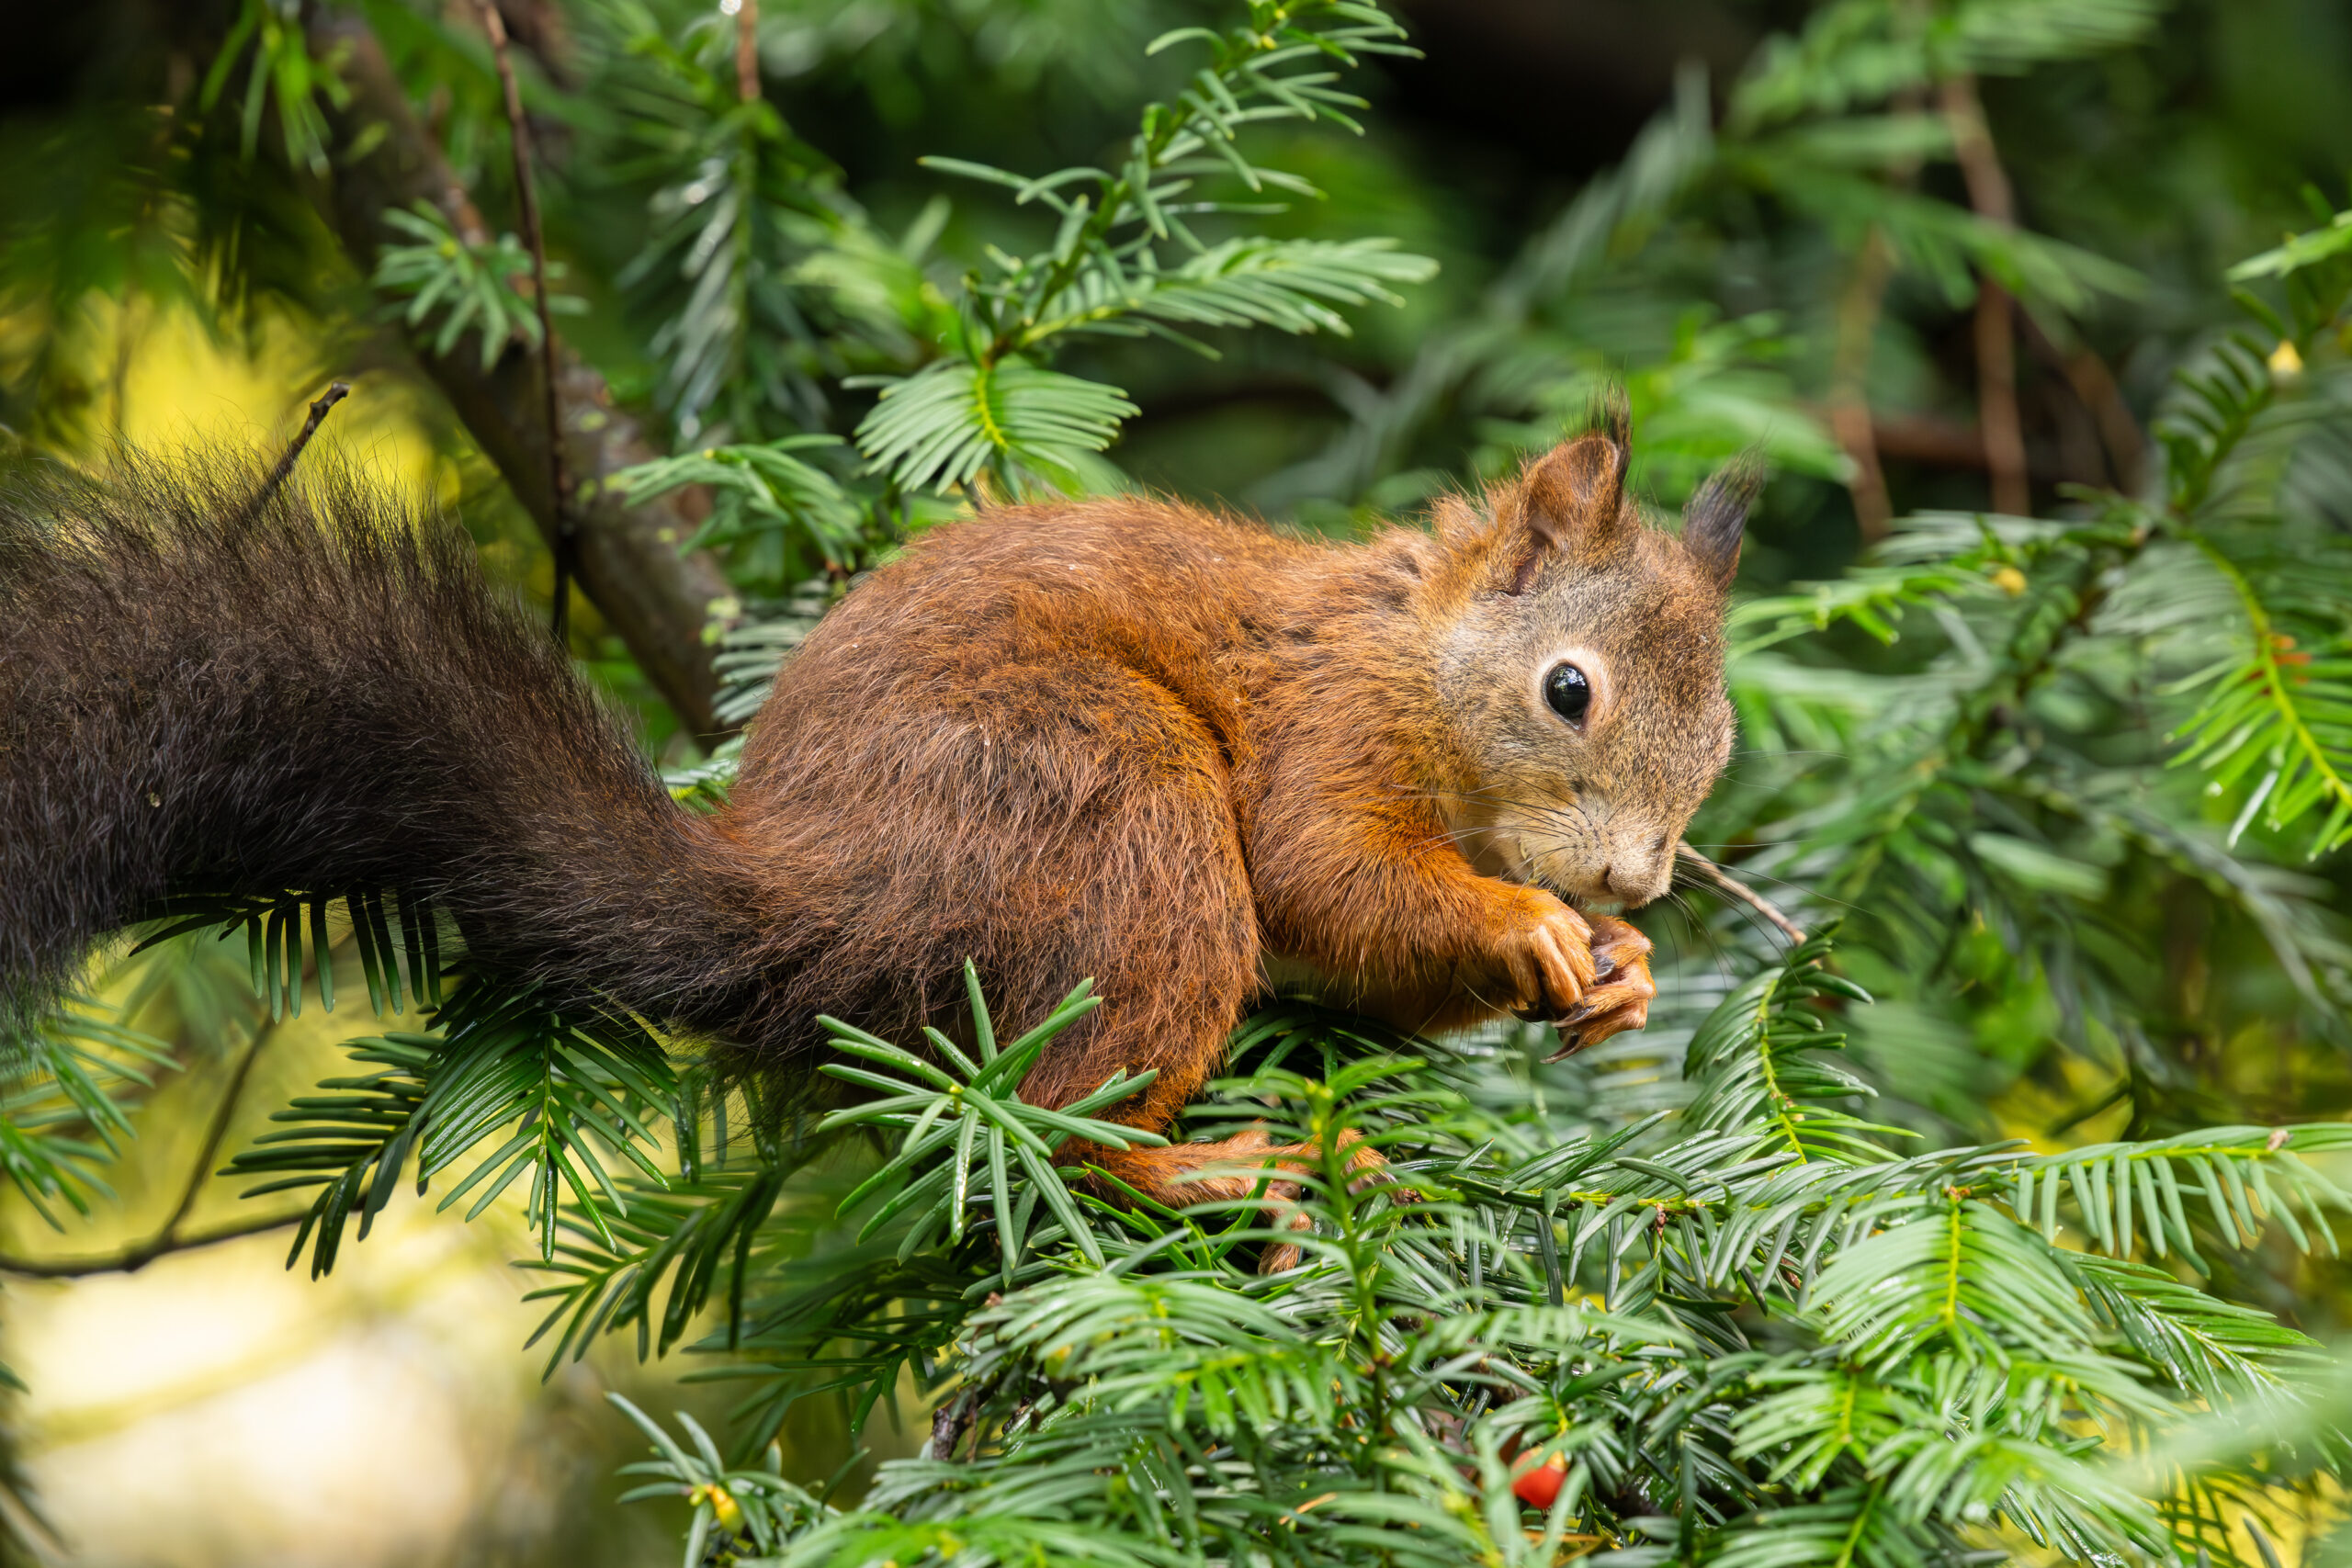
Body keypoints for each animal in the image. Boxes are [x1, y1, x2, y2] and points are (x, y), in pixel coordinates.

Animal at [0, 411, 1749, 1213]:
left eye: (1722, 742)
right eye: (1571, 692)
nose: (1637, 877)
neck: (1419, 649)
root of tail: (815, 890)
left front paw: (1620, 977)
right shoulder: (1321, 731)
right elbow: (1329, 882)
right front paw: (1534, 921)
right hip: (1121, 808)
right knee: (1053, 1113)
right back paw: (1212, 1173)